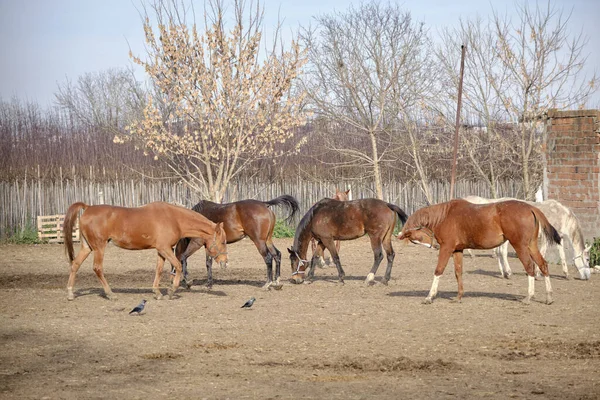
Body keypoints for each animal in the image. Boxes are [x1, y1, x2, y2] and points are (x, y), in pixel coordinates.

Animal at [63, 203, 227, 300]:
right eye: (223, 241)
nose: (225, 262)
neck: (174, 219)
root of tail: (88, 207)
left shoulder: (161, 250)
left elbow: (159, 270)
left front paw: (157, 292)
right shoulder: (165, 249)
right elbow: (178, 265)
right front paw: (172, 290)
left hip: (87, 247)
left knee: (75, 264)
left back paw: (70, 292)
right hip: (99, 247)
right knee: (97, 268)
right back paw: (110, 293)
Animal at [398, 198, 564, 304]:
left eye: (418, 236)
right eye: (415, 240)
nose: (434, 247)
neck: (444, 216)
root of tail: (531, 208)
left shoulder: (447, 248)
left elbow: (439, 270)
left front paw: (430, 297)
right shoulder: (457, 250)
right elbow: (458, 272)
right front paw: (459, 296)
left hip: (520, 246)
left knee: (530, 267)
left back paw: (529, 297)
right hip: (531, 245)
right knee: (543, 265)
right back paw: (549, 297)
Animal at [462, 195, 592, 280]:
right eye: (587, 259)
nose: (587, 277)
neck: (562, 216)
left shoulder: (559, 237)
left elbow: (562, 255)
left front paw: (566, 274)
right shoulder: (545, 239)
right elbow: (543, 253)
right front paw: (538, 274)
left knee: (498, 252)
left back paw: (503, 273)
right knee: (502, 252)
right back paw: (508, 272)